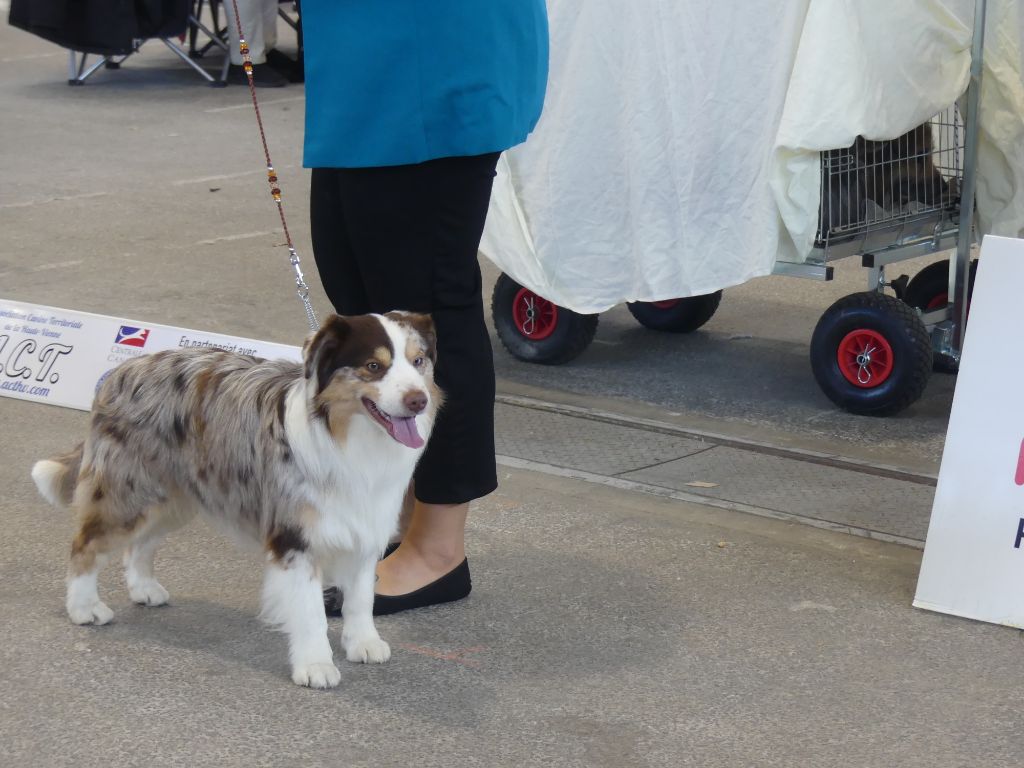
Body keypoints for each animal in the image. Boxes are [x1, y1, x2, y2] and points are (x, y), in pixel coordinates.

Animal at [30, 313, 440, 692]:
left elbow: (361, 597)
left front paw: (363, 643)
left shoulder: (366, 526)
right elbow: (310, 612)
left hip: (175, 497)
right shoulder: (295, 538)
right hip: (128, 492)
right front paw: (315, 665)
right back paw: (84, 608)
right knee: (85, 545)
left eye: (418, 361)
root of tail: (122, 370)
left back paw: (144, 588)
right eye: (374, 367)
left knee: (140, 544)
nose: (418, 400)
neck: (348, 439)